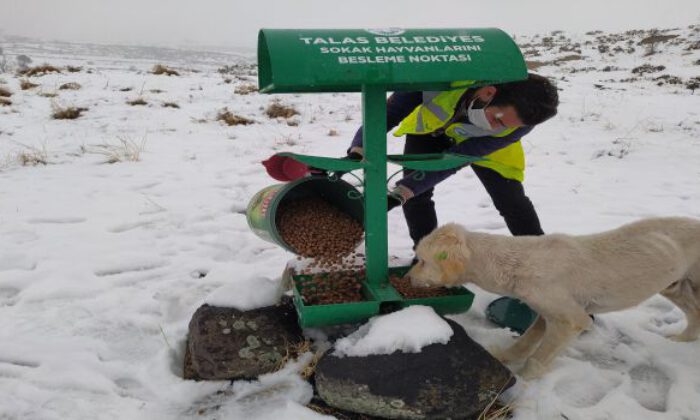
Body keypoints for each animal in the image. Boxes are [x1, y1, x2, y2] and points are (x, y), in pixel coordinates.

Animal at [404, 218, 700, 378]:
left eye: (422, 260)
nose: (406, 279)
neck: (521, 261)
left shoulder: (571, 319)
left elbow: (537, 359)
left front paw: (522, 383)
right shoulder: (546, 314)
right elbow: (524, 343)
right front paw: (503, 357)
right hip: (674, 285)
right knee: (695, 311)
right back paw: (683, 340)